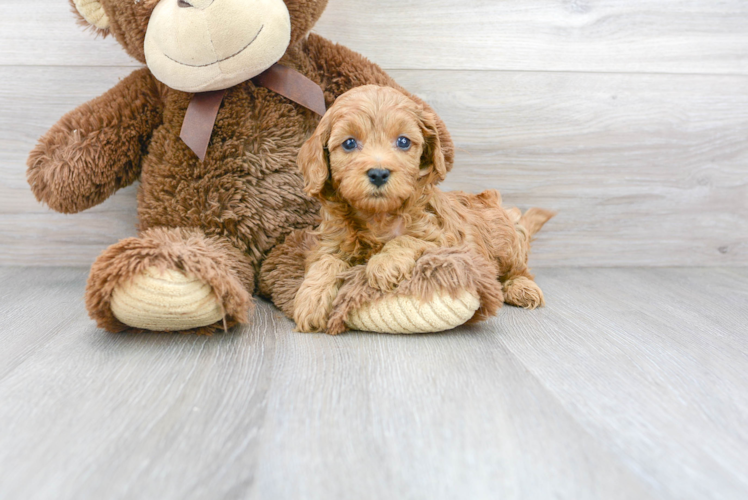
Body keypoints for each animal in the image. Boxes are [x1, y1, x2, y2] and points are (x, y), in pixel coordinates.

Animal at [292, 86, 556, 334]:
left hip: (506, 244)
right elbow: (326, 261)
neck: (377, 216)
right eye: (349, 143)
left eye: (403, 141)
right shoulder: (331, 242)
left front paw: (384, 263)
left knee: (519, 269)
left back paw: (523, 288)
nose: (378, 173)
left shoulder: (444, 239)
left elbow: (406, 239)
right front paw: (311, 299)